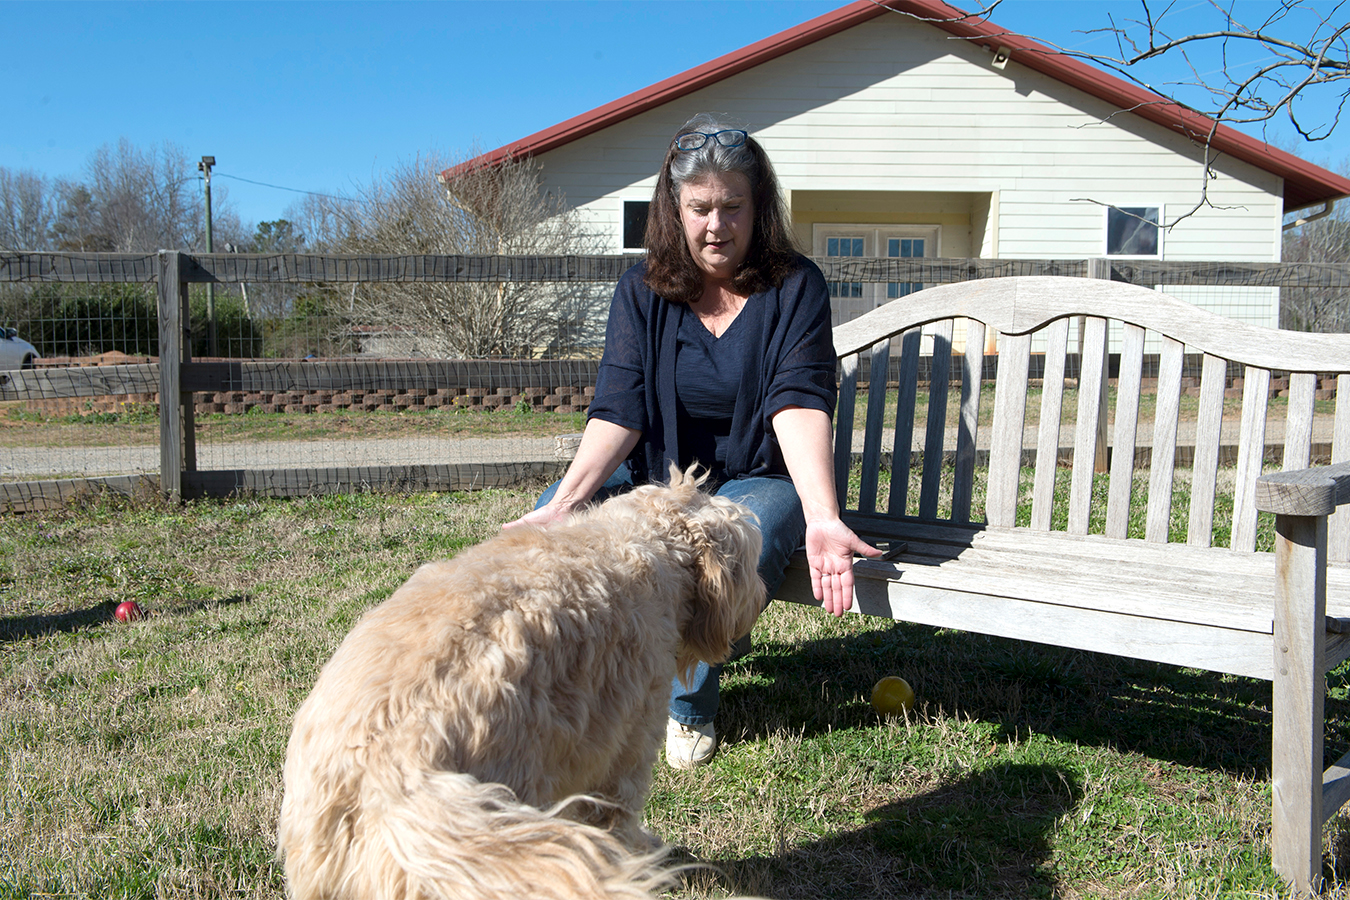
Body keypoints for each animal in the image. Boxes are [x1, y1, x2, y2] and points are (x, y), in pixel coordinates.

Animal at [279, 469, 766, 900]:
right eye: (749, 559)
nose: (761, 593)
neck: (649, 540)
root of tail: (387, 775)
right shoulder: (626, 747)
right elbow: (618, 816)